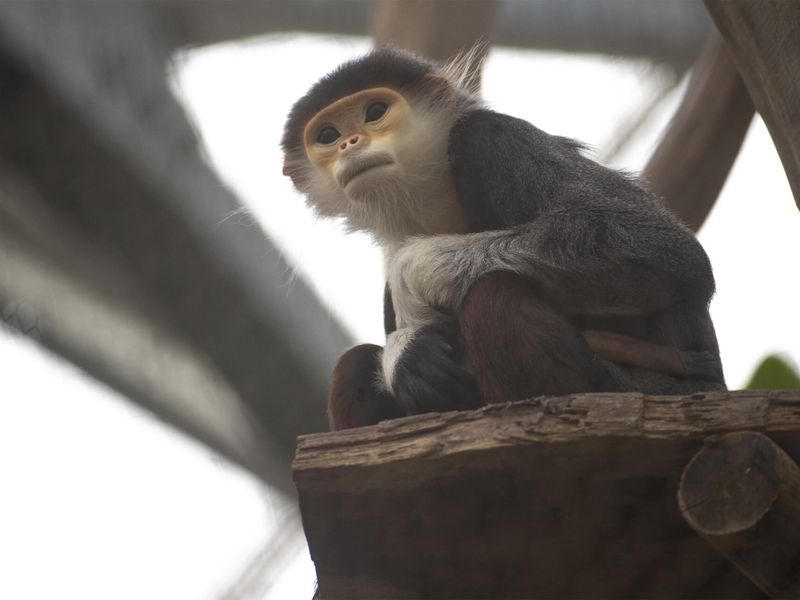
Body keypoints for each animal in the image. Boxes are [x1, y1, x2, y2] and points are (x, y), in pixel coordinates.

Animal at [282, 48, 724, 432]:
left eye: (375, 112)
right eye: (327, 134)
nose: (349, 143)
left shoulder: (495, 137)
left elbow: (674, 255)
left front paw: (411, 278)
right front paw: (402, 353)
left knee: (493, 299)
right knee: (354, 363)